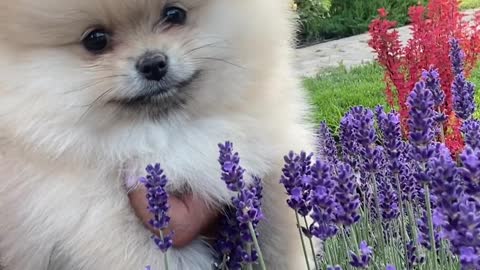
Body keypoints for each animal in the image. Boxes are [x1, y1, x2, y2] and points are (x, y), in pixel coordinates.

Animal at [0, 0, 314, 268]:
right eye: (95, 39)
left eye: (174, 14)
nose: (152, 63)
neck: (168, 132)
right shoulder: (101, 224)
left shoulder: (269, 160)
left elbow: (283, 237)